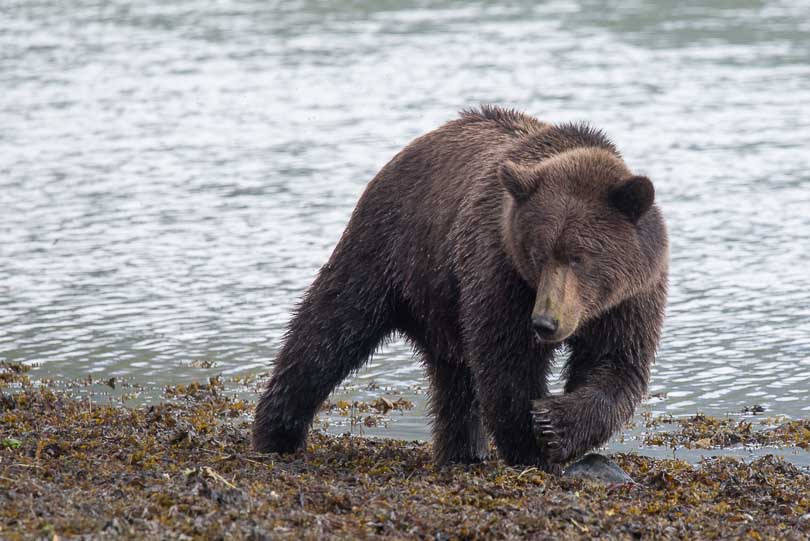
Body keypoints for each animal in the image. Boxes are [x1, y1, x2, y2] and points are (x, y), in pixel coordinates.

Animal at [254, 104, 668, 468]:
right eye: (538, 253)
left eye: (578, 257)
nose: (545, 323)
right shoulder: (502, 273)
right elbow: (506, 363)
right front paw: (531, 445)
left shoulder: (631, 297)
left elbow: (615, 364)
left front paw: (554, 423)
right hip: (387, 249)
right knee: (328, 331)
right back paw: (276, 432)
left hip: (443, 300)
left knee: (455, 379)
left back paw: (462, 452)